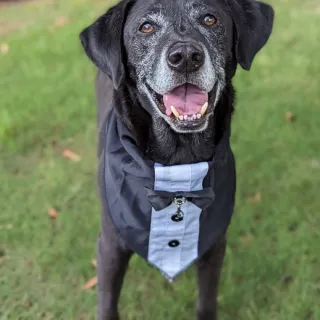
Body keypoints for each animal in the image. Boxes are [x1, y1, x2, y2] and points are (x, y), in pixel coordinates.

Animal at [80, 1, 276, 318]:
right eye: (146, 26)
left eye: (210, 19)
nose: (185, 57)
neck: (179, 163)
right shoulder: (110, 248)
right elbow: (107, 304)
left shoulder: (212, 246)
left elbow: (206, 301)